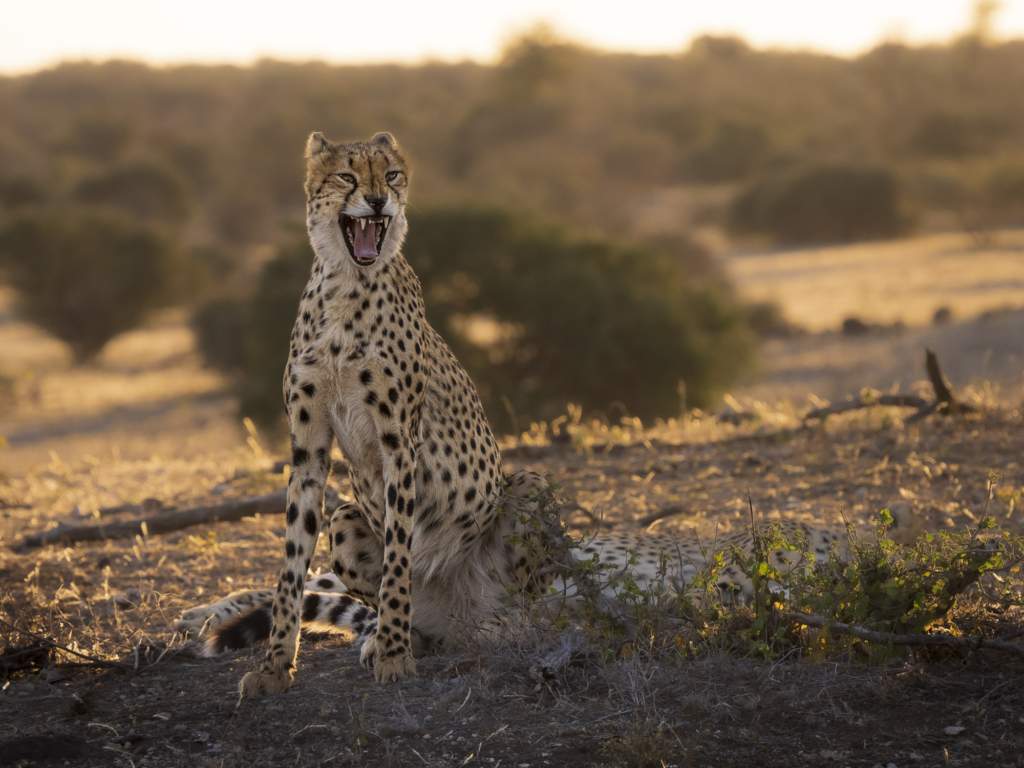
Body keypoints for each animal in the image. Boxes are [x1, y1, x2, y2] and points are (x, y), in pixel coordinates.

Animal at [176, 132, 929, 696]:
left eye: (390, 172)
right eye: (345, 174)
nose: (380, 199)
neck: (343, 288)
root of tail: (462, 609)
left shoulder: (399, 444)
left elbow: (385, 571)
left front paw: (388, 658)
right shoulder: (308, 452)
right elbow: (290, 566)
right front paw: (274, 668)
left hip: (529, 493)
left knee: (519, 607)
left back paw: (480, 633)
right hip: (351, 518)